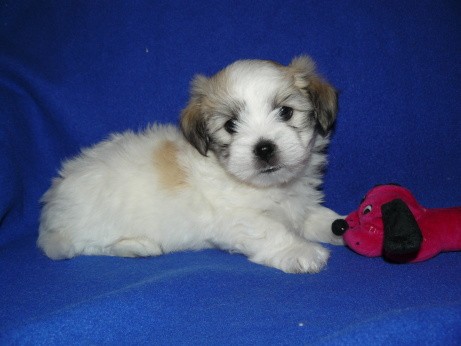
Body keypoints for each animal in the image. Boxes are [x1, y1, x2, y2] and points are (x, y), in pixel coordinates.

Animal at [38, 56, 342, 274]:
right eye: (230, 125)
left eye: (286, 112)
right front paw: (302, 252)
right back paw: (137, 246)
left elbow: (316, 216)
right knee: (86, 247)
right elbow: (271, 230)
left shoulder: (300, 205)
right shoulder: (235, 217)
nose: (264, 148)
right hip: (92, 227)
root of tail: (52, 208)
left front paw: (339, 226)